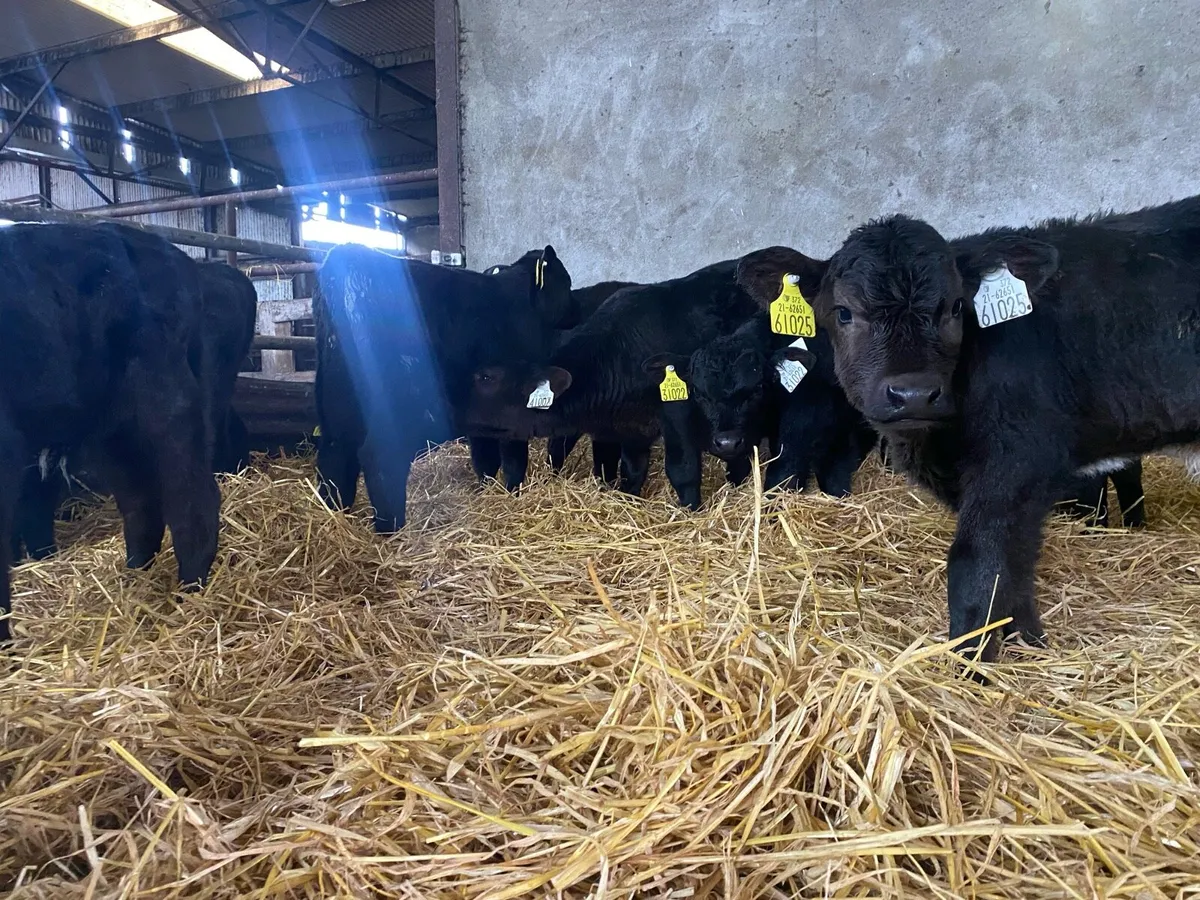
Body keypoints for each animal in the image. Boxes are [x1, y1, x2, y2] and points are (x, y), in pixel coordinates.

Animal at [1, 222, 222, 644]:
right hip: (113, 427)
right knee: (141, 504)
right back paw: (133, 578)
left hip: (167, 402)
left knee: (191, 496)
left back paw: (191, 590)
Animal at [313, 244, 558, 533]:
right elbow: (513, 457)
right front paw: (512, 492)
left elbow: (485, 456)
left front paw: (487, 489)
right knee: (378, 458)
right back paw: (391, 528)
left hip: (336, 406)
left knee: (334, 456)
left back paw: (334, 514)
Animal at [461, 259, 761, 501]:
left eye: (485, 378)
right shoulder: (625, 429)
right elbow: (629, 469)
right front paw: (630, 500)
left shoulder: (678, 411)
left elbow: (682, 469)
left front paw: (691, 511)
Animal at [643, 313, 876, 508]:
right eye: (699, 394)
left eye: (757, 389)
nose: (727, 442)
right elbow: (687, 470)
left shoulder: (803, 426)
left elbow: (783, 474)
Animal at [737, 194, 1200, 661]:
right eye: (844, 312)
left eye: (956, 307)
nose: (913, 394)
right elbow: (1013, 566)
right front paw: (1028, 643)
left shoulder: (1020, 460)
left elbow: (977, 562)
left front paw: (972, 662)